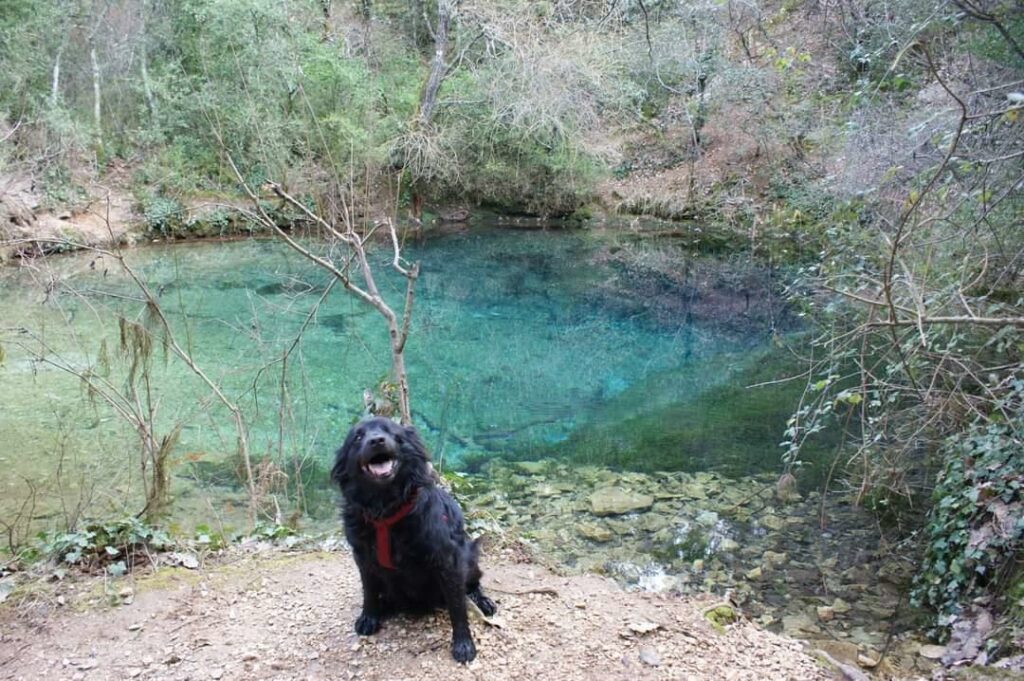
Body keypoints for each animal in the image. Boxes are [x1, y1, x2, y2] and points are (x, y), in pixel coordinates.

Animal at [331, 417, 495, 659]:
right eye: (358, 437)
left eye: (391, 432)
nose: (377, 440)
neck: (385, 511)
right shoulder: (362, 557)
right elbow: (368, 592)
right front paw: (369, 617)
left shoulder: (447, 560)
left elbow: (457, 607)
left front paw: (463, 643)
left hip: (468, 555)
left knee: (473, 583)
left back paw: (482, 600)